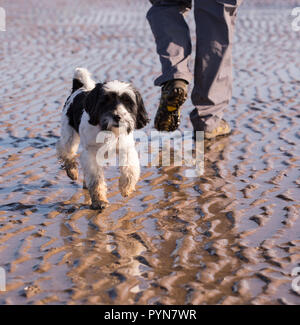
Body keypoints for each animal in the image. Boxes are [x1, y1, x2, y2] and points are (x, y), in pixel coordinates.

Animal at [56, 68, 149, 210]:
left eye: (128, 102)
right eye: (106, 101)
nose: (117, 116)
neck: (109, 130)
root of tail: (79, 88)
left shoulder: (126, 148)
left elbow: (130, 170)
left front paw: (126, 187)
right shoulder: (91, 154)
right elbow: (96, 179)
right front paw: (99, 200)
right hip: (69, 136)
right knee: (66, 152)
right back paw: (72, 170)